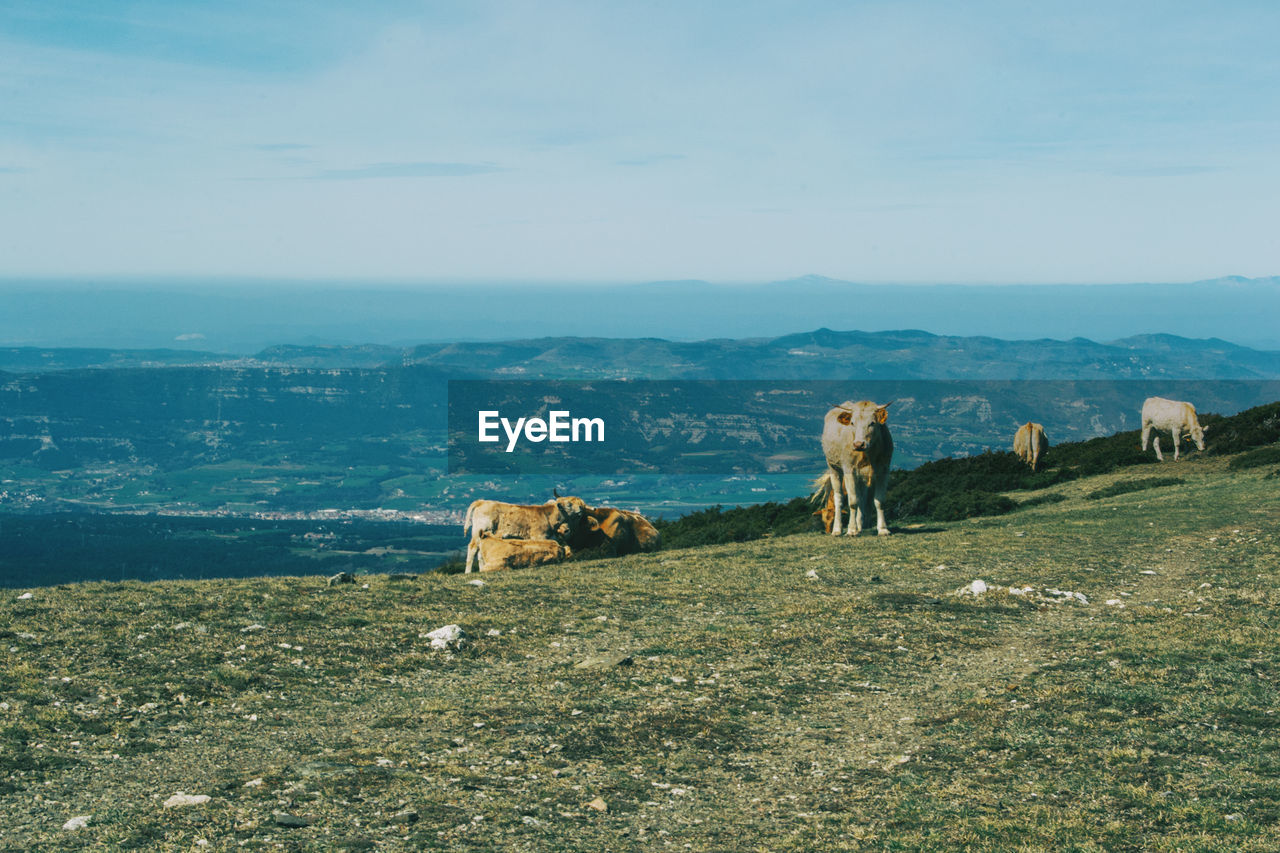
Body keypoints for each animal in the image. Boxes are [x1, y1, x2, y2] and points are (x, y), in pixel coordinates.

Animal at [460, 491, 588, 571]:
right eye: (569, 504)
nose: (581, 509)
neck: (546, 516)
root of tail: (482, 501)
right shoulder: (538, 536)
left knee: (479, 552)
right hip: (479, 530)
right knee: (473, 549)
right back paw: (468, 572)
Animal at [819, 397, 890, 532]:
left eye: (872, 423)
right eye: (852, 423)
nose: (858, 444)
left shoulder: (883, 470)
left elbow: (879, 501)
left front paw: (883, 529)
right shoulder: (849, 470)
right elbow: (853, 502)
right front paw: (852, 530)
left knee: (862, 498)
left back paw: (861, 525)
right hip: (833, 468)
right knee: (839, 498)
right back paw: (837, 529)